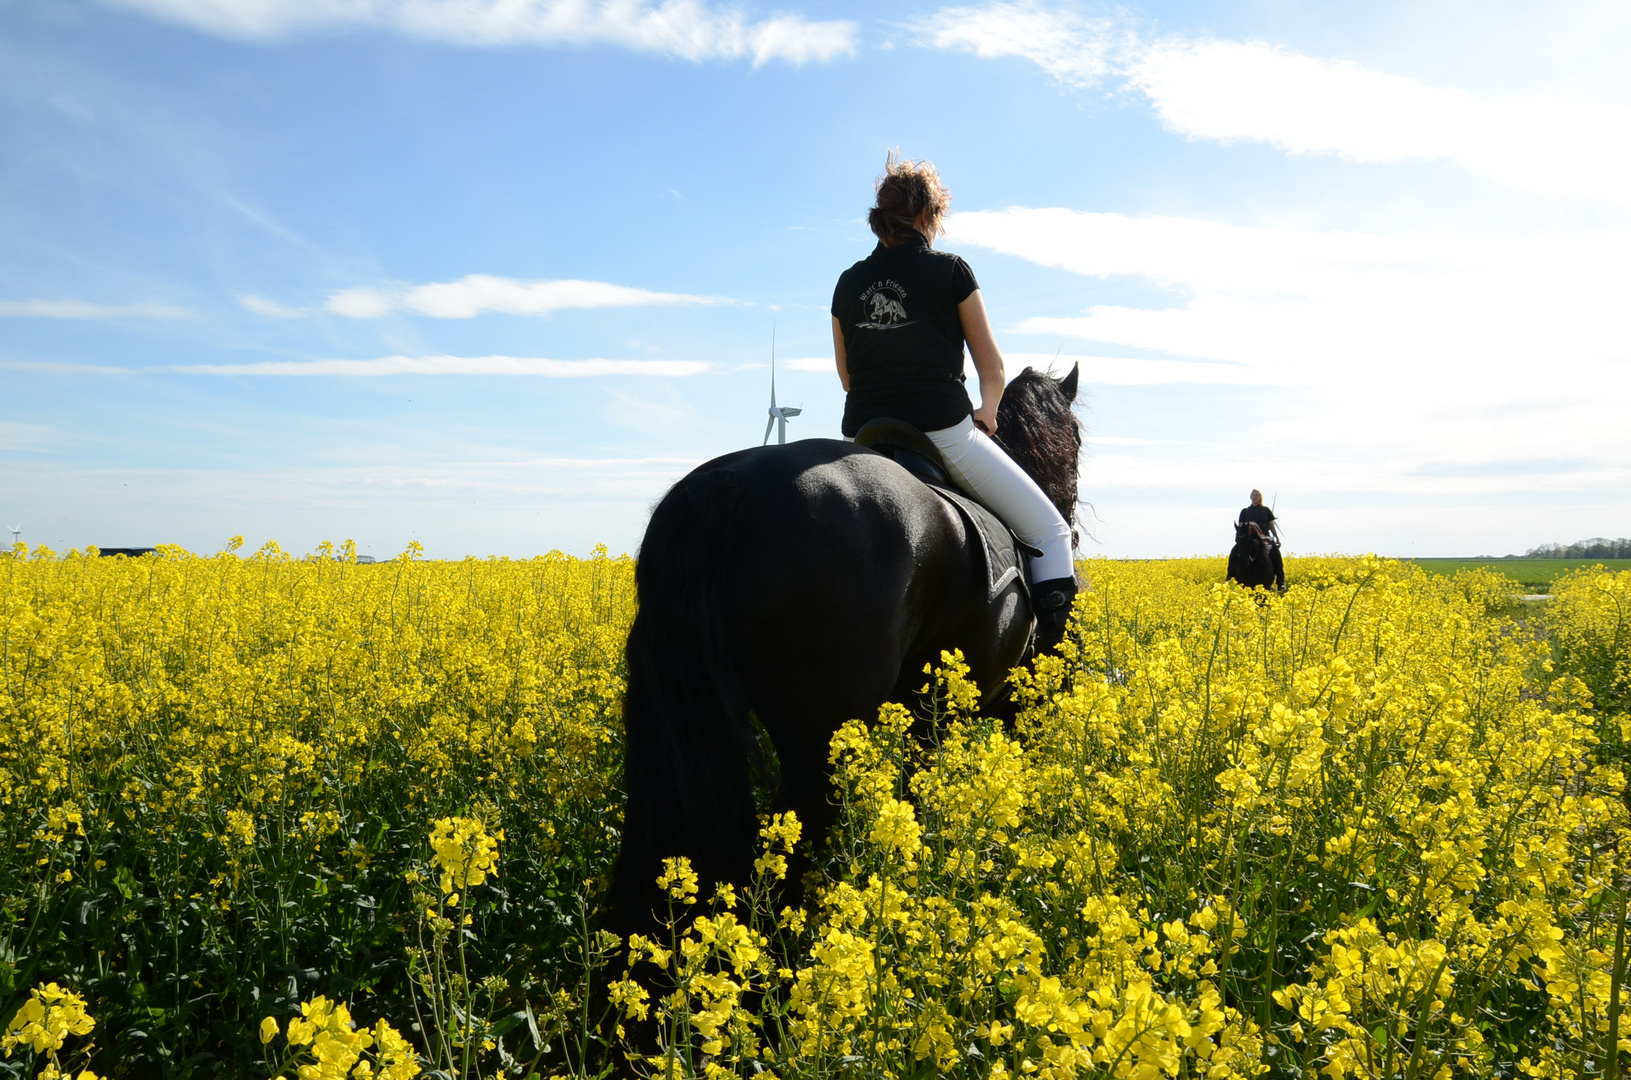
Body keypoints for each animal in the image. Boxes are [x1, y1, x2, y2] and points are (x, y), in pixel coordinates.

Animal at [613, 368, 1082, 933]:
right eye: (1076, 438)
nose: (1073, 516)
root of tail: (730, 486)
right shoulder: (1018, 708)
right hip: (816, 744)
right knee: (793, 836)